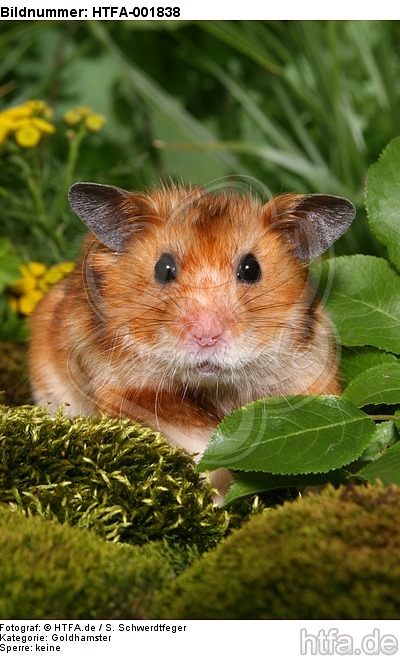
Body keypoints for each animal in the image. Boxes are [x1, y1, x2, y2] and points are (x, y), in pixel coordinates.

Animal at [29, 183, 355, 501]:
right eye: (163, 268)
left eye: (251, 269)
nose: (206, 336)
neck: (214, 388)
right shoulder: (126, 391)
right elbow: (203, 448)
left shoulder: (311, 377)